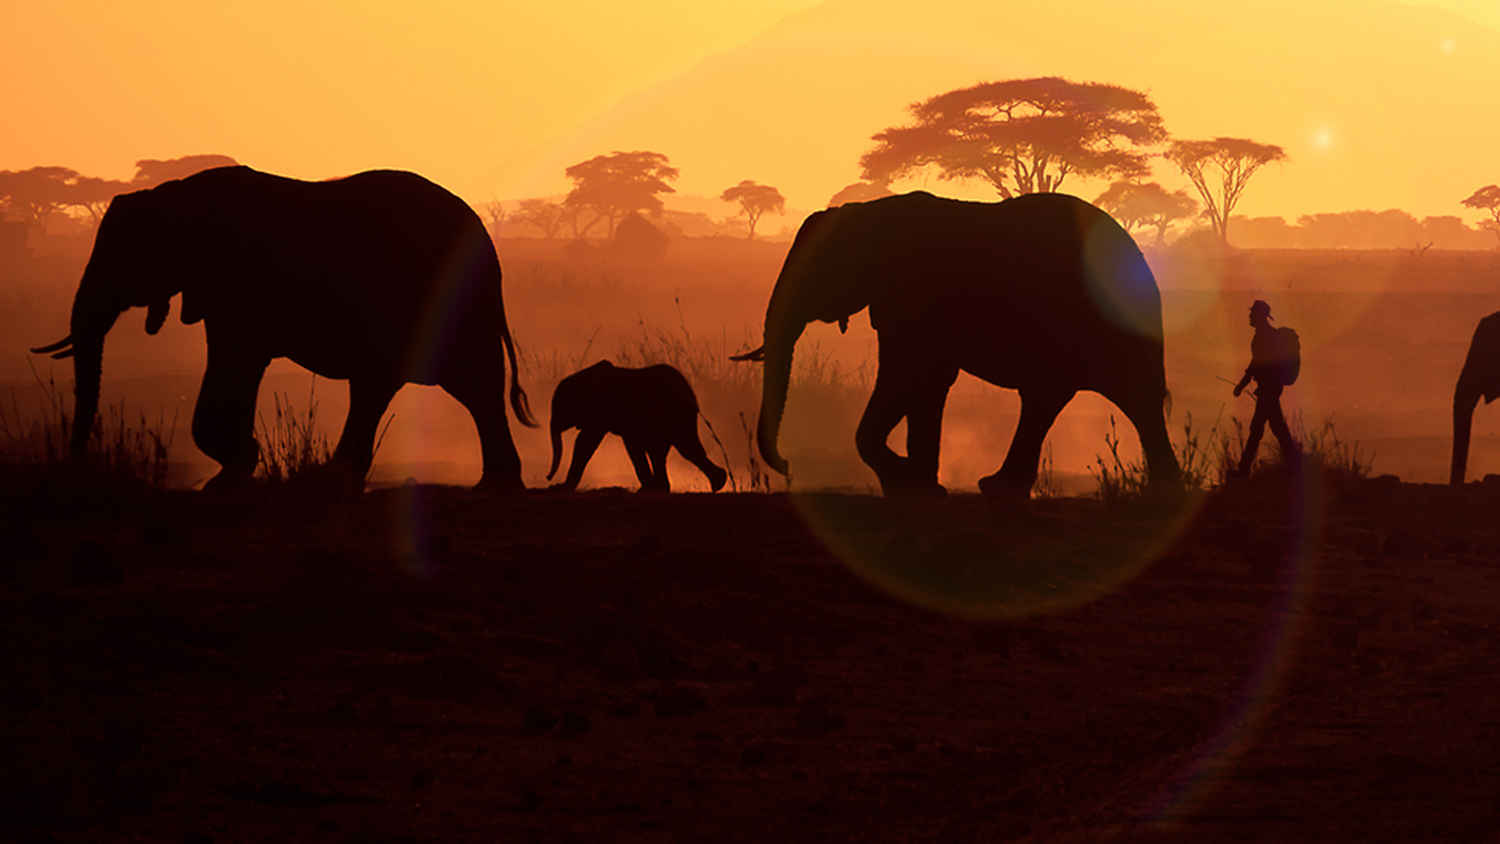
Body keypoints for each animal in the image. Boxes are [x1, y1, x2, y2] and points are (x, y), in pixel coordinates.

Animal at [30, 165, 540, 491]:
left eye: (125, 256)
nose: (77, 464)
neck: (173, 195)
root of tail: (486, 242)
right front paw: (234, 471)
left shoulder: (239, 283)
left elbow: (236, 359)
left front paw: (232, 471)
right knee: (443, 387)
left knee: (440, 383)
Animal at [552, 359, 726, 491]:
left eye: (560, 408)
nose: (548, 478)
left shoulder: (602, 410)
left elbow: (586, 442)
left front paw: (560, 488)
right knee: (667, 451)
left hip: (676, 415)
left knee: (684, 448)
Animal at [735, 190, 1182, 494]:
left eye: (814, 273)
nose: (788, 467)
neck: (867, 211)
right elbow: (928, 383)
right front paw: (920, 486)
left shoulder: (915, 295)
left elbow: (907, 375)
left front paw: (907, 482)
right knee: (1059, 398)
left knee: (1117, 396)